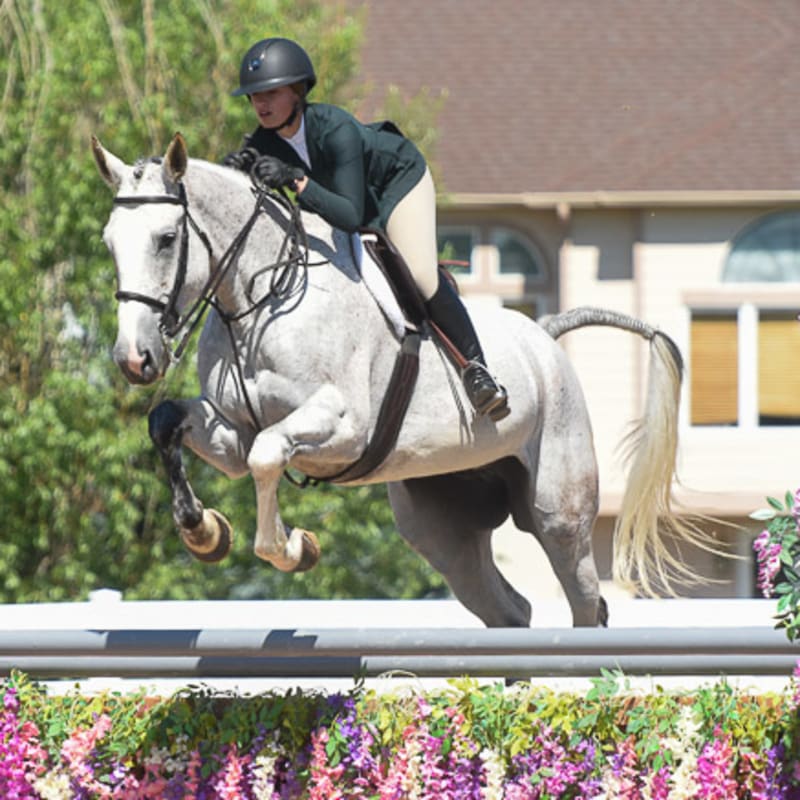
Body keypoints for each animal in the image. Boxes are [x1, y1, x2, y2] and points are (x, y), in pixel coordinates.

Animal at [92, 134, 708, 628]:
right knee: (508, 610)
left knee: (586, 604)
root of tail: (545, 336)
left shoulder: (344, 429)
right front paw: (204, 533)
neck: (262, 297)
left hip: (560, 511)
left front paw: (293, 548)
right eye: (109, 241)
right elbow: (171, 422)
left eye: (166, 239)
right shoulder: (231, 432)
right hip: (442, 528)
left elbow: (268, 455)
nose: (134, 358)